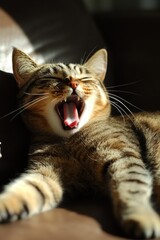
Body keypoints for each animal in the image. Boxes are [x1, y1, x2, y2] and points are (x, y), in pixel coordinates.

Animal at [0, 47, 160, 239]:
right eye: (52, 78)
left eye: (84, 78)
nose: (73, 83)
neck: (69, 139)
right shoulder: (45, 172)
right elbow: (27, 188)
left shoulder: (122, 156)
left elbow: (132, 186)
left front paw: (142, 215)